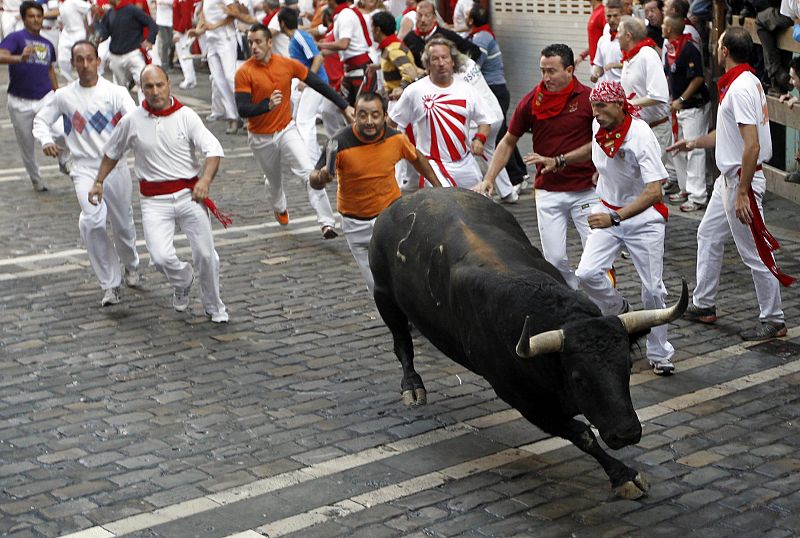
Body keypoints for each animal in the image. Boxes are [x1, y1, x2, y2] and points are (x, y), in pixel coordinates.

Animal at [368, 186, 688, 496]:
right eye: (579, 377)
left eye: (627, 366)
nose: (626, 433)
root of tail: (403, 203)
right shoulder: (523, 400)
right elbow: (582, 434)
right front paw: (623, 475)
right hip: (384, 296)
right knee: (401, 343)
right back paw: (412, 387)